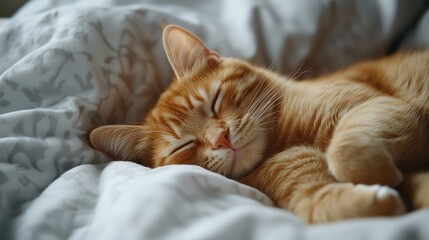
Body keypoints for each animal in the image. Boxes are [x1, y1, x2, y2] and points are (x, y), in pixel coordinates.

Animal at [88, 24, 428, 223]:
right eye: (184, 146)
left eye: (215, 101)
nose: (222, 138)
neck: (281, 143)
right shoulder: (296, 179)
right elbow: (319, 206)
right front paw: (384, 192)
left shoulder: (375, 105)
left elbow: (345, 151)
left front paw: (381, 175)